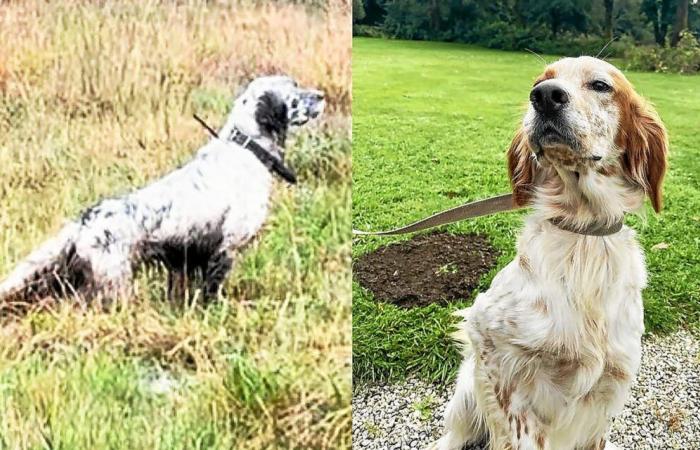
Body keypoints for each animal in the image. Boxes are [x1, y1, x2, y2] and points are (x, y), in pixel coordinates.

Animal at [432, 57, 668, 450]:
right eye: (538, 83)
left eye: (600, 85)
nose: (544, 96)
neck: (584, 238)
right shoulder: (488, 338)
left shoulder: (611, 385)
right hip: (466, 392)